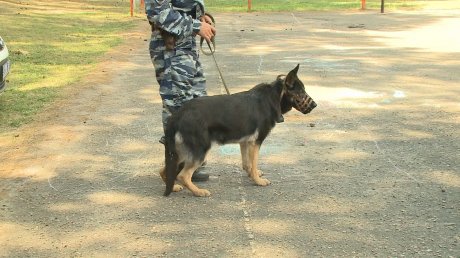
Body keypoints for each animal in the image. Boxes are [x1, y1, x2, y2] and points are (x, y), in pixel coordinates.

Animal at [159, 64, 316, 196]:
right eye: (301, 92)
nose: (315, 105)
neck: (273, 97)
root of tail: (178, 114)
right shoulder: (256, 142)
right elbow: (254, 162)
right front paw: (258, 181)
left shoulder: (245, 142)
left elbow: (248, 164)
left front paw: (252, 174)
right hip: (199, 150)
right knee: (183, 175)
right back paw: (198, 192)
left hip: (180, 152)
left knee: (164, 170)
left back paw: (173, 187)